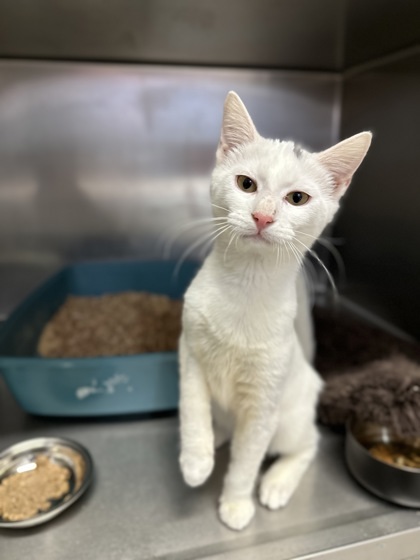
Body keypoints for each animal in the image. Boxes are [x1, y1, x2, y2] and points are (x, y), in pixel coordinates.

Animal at [177, 91, 370, 528]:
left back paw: (278, 482)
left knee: (308, 444)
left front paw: (235, 503)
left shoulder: (263, 402)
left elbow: (247, 459)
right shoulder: (189, 353)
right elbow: (192, 408)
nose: (262, 215)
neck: (245, 288)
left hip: (290, 419)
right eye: (246, 184)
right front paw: (195, 460)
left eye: (297, 198)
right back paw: (218, 437)